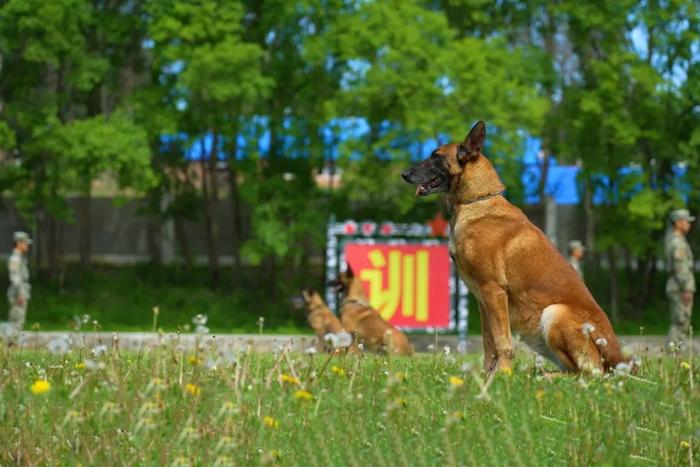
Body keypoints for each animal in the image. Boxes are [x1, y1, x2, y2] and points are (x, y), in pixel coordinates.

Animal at [400, 121, 628, 376]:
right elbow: (489, 343)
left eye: (436, 156)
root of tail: (617, 357)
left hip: (555, 312)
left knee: (589, 374)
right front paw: (486, 376)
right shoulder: (483, 299)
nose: (404, 174)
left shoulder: (494, 291)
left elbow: (502, 341)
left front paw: (503, 375)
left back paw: (546, 376)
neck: (476, 202)